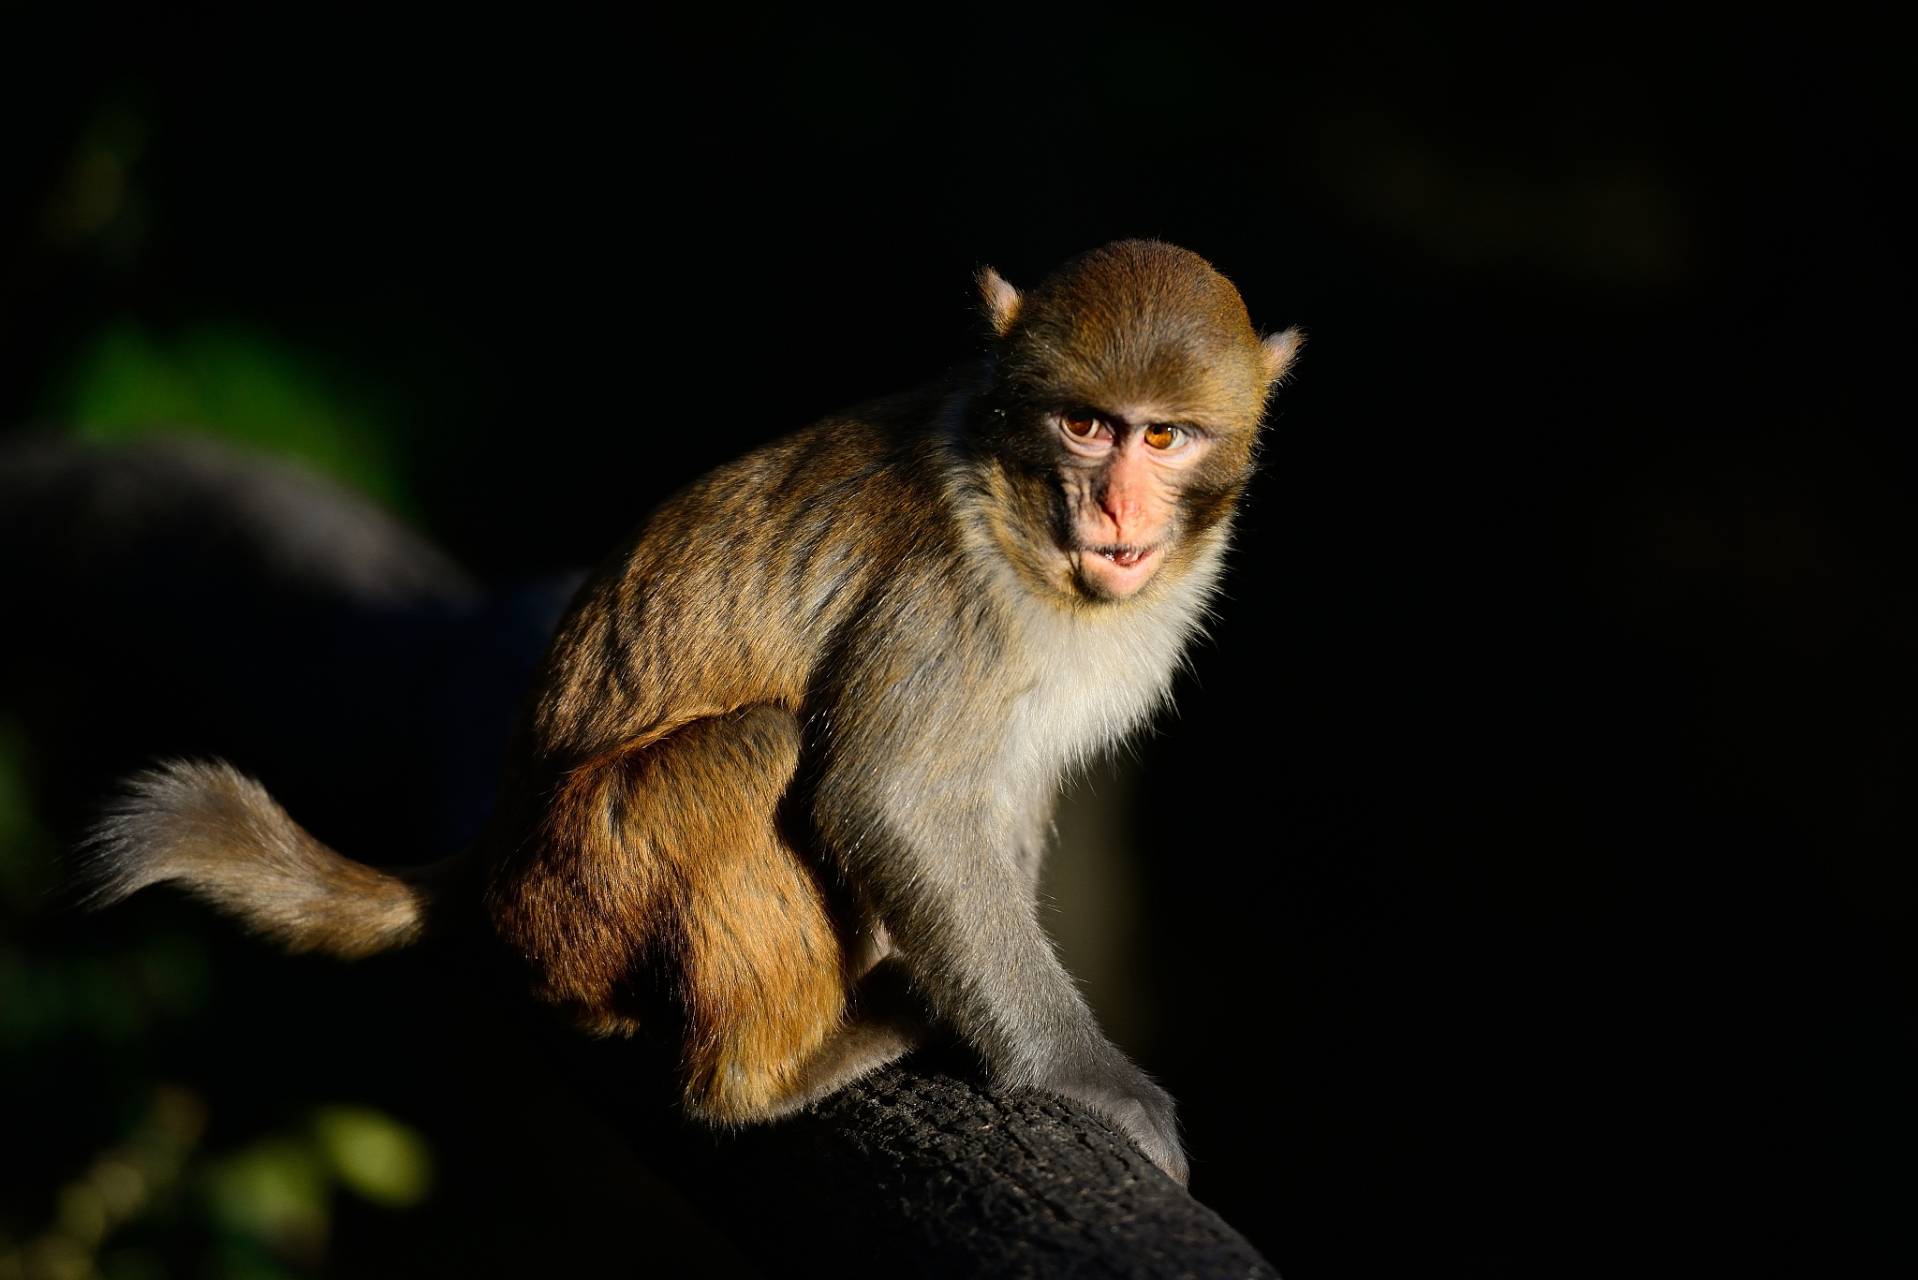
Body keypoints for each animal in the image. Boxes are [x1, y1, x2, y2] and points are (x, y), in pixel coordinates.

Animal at [74, 237, 1304, 1182]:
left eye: (1163, 437)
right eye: (1087, 427)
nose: (1116, 508)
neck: (1029, 532)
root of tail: (492, 853)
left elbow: (993, 800)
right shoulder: (954, 597)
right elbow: (891, 799)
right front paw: (1082, 1075)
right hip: (586, 888)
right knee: (762, 746)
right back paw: (761, 1080)